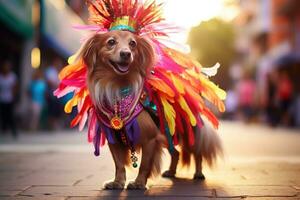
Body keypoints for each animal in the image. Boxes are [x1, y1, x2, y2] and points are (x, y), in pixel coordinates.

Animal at [79, 30, 223, 190]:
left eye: (132, 43)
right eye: (111, 42)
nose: (126, 54)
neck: (117, 87)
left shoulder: (151, 139)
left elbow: (144, 165)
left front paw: (139, 183)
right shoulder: (114, 139)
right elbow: (119, 164)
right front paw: (117, 182)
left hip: (187, 131)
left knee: (197, 152)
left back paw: (198, 173)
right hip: (168, 133)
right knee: (176, 153)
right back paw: (171, 172)